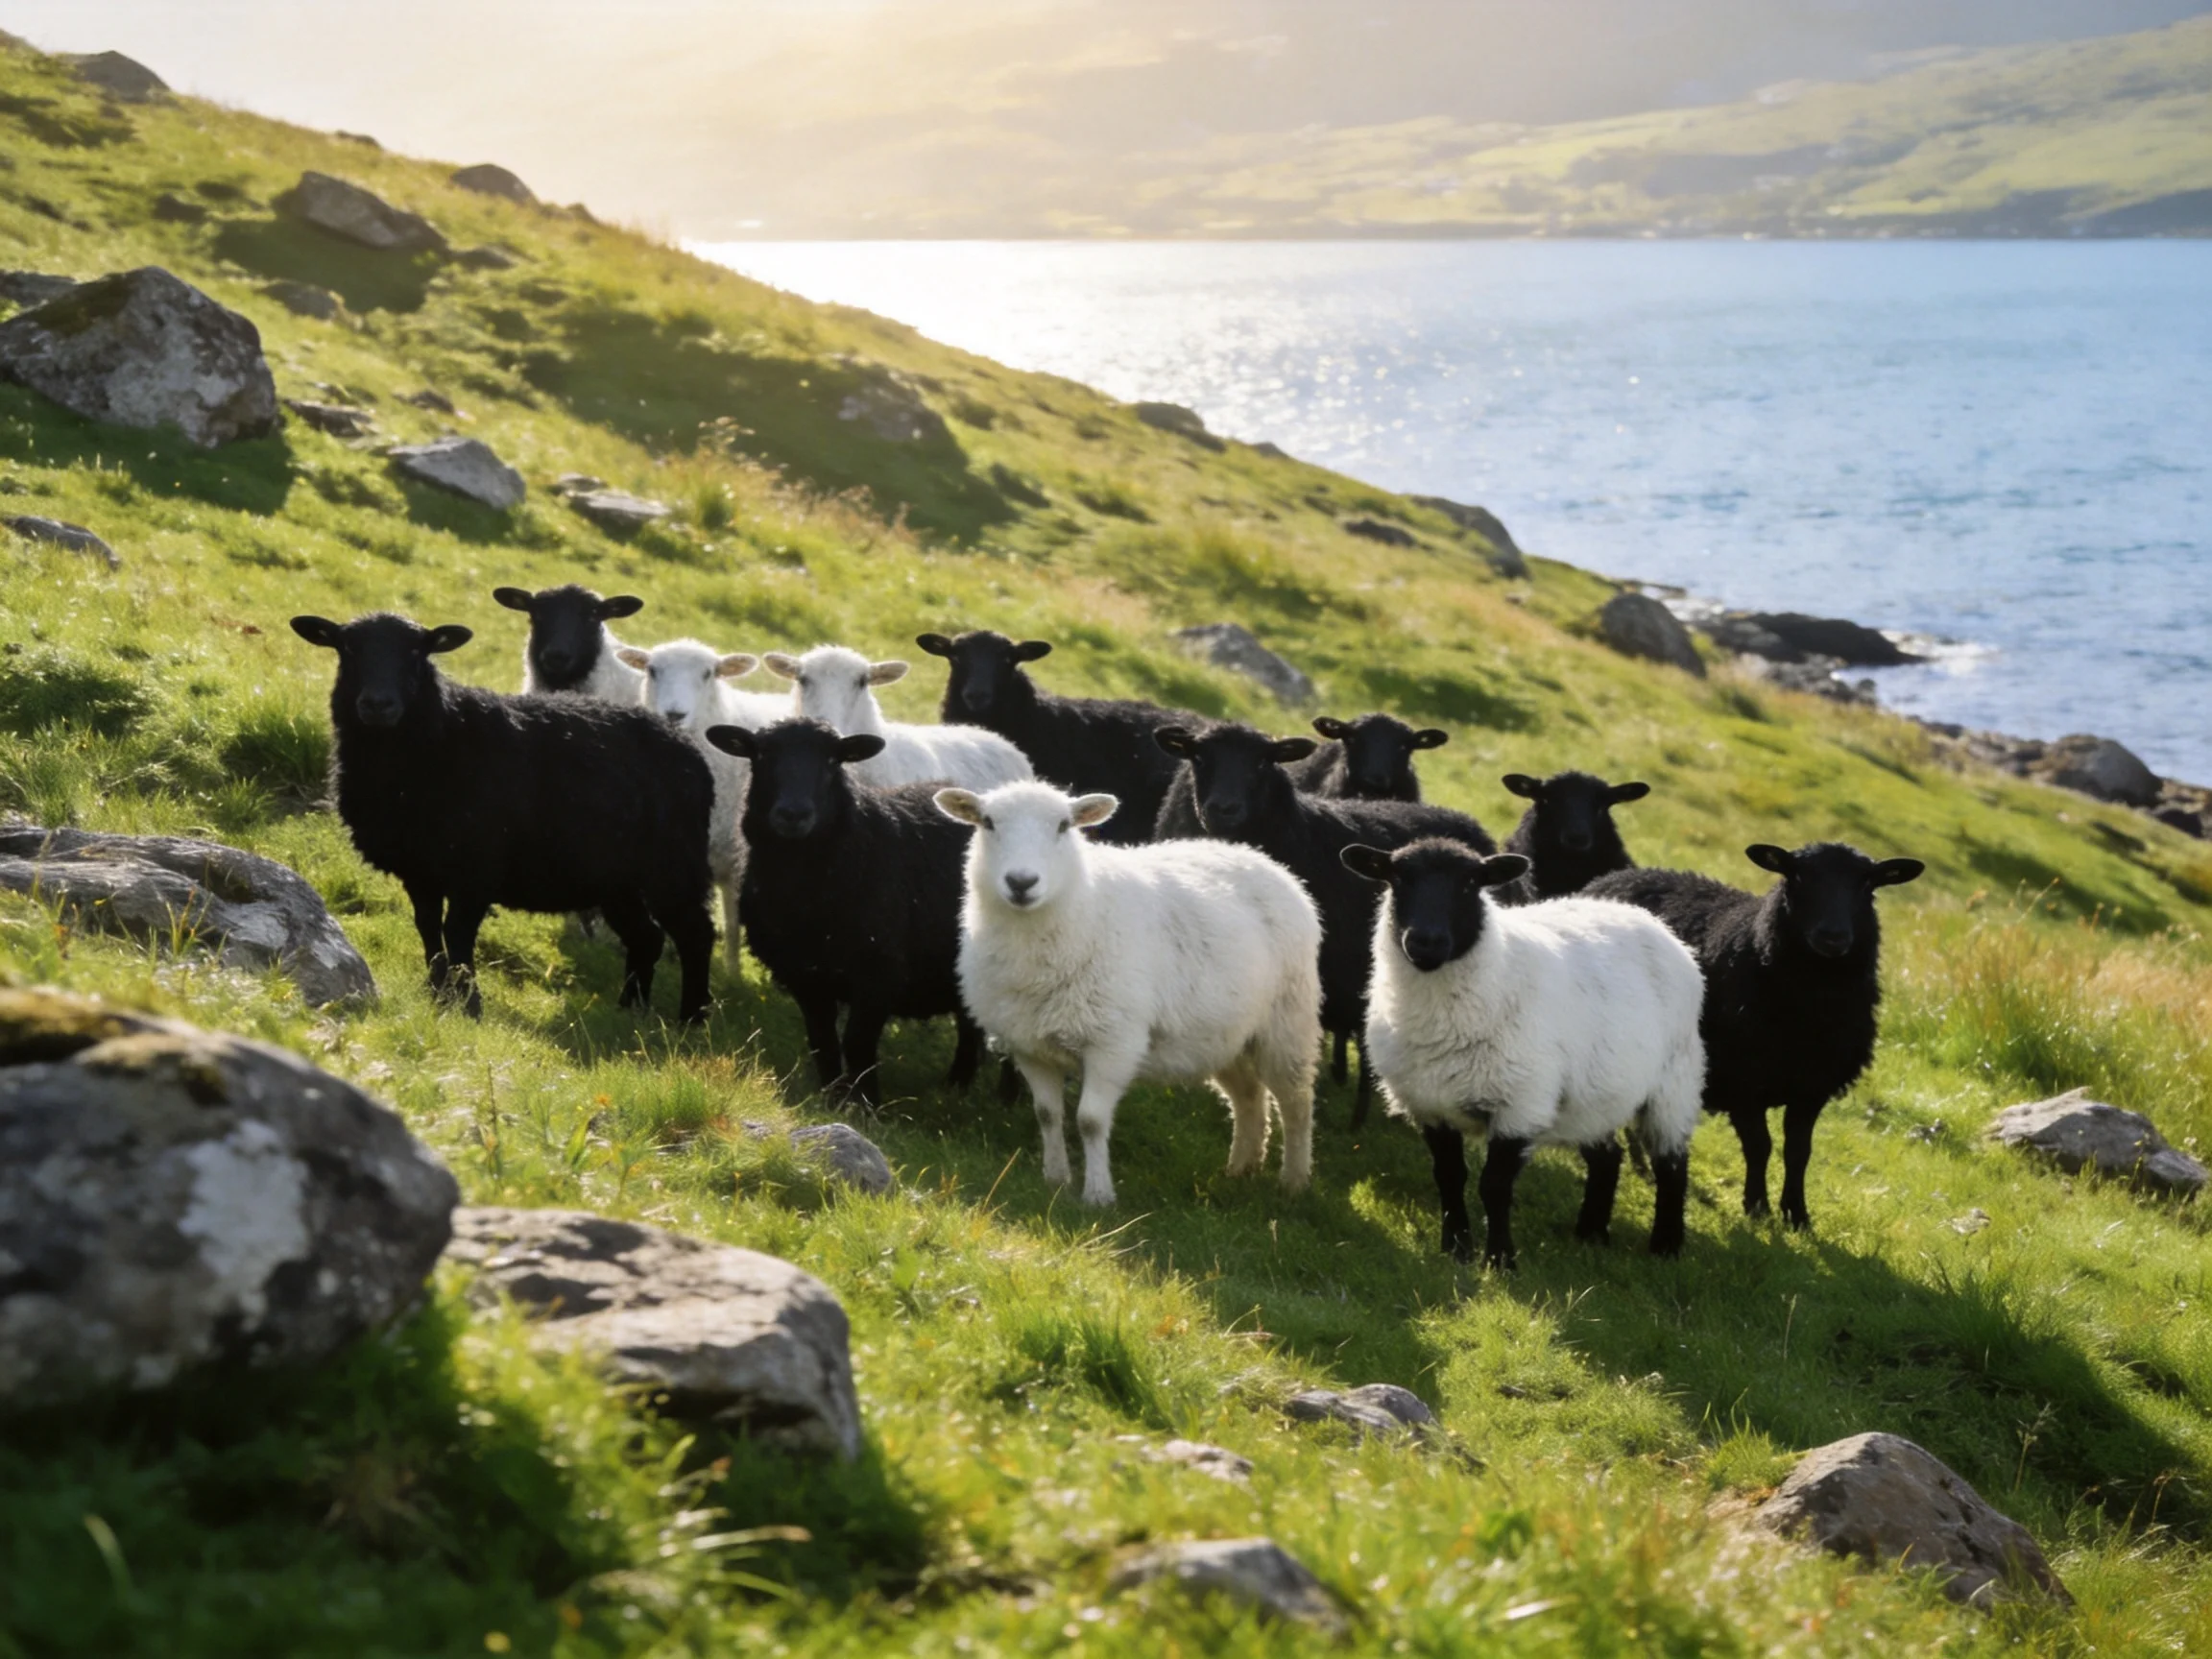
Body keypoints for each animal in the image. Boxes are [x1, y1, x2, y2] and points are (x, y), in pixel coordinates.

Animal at [291, 612, 715, 1022]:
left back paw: (691, 1020)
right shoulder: (420, 868)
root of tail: (692, 754)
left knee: (696, 934)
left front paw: (469, 1006)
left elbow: (458, 933)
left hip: (673, 867)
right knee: (648, 937)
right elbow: (428, 928)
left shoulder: (477, 867)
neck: (439, 739)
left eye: (416, 652)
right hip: (616, 879)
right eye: (347, 648)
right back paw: (630, 1010)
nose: (379, 704)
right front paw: (438, 994)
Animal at [706, 718, 985, 1109]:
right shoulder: (804, 976)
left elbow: (857, 1041)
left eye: (831, 761)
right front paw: (831, 1099)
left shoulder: (879, 973)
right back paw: (957, 1088)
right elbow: (822, 1041)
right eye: (762, 755)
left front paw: (867, 1105)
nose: (793, 814)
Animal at [936, 780, 1321, 1208]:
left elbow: (1090, 1120)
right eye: (987, 822)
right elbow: (1047, 1114)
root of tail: (1262, 859)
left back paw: (1293, 1181)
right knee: (1250, 1096)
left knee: (1296, 1102)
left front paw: (1098, 1194)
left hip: (1288, 1020)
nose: (1021, 882)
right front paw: (1055, 1180)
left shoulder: (1112, 1043)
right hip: (1225, 1034)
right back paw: (1241, 1169)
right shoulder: (1029, 1046)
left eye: (1063, 825)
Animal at [1343, 838, 1703, 1267]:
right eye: (1399, 878)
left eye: (1470, 884)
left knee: (1672, 1164)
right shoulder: (1430, 1106)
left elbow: (1494, 1187)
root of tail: (1650, 921)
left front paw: (1500, 1260)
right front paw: (1456, 1249)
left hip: (1674, 1081)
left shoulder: (1520, 1104)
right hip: (1595, 1092)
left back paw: (1666, 1246)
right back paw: (1590, 1234)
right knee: (1608, 1157)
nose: (1425, 942)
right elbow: (1449, 1178)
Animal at [1584, 842, 1925, 1230]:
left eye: (1867, 884)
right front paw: (1757, 1207)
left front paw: (1797, 1214)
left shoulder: (1812, 1087)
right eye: (1798, 876)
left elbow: (1799, 1151)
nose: (1833, 936)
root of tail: (1613, 877)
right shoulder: (1742, 1081)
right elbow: (1759, 1146)